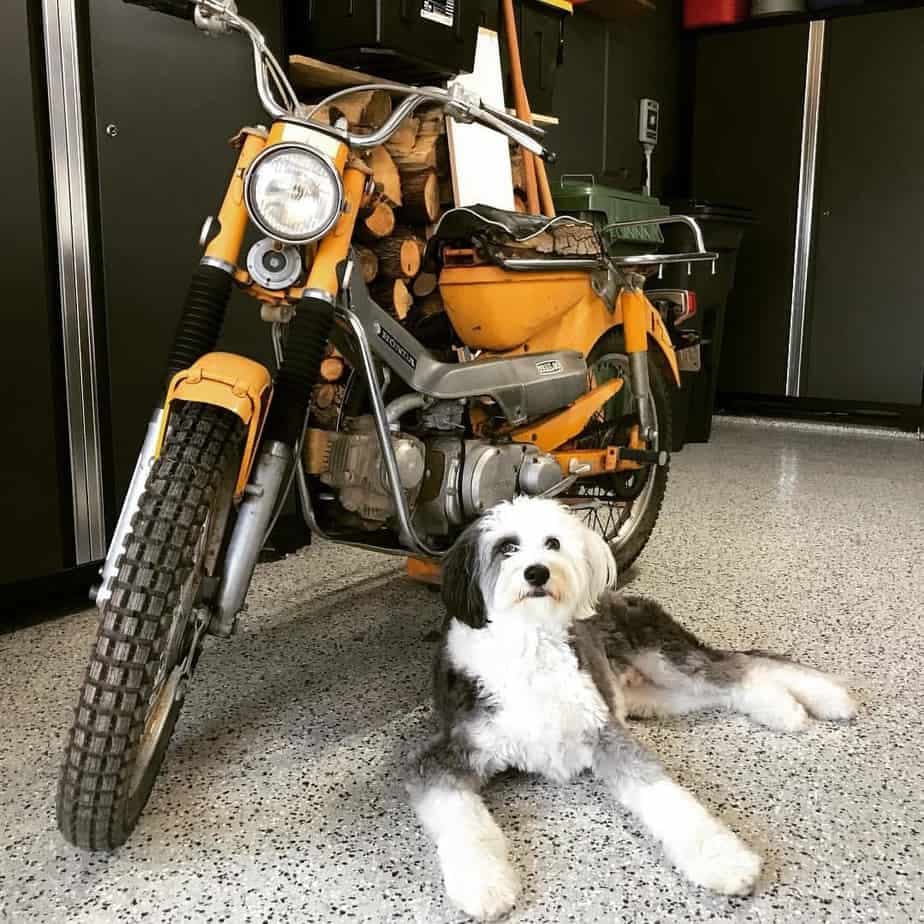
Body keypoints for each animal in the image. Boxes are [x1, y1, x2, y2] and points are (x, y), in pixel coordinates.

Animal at [408, 494, 856, 920]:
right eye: (506, 547)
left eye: (553, 542)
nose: (538, 572)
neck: (531, 645)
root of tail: (617, 596)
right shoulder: (441, 758)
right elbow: (464, 820)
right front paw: (484, 886)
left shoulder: (606, 734)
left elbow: (667, 798)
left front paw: (723, 861)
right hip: (654, 695)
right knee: (729, 679)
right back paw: (796, 704)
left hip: (664, 657)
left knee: (737, 666)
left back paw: (802, 703)